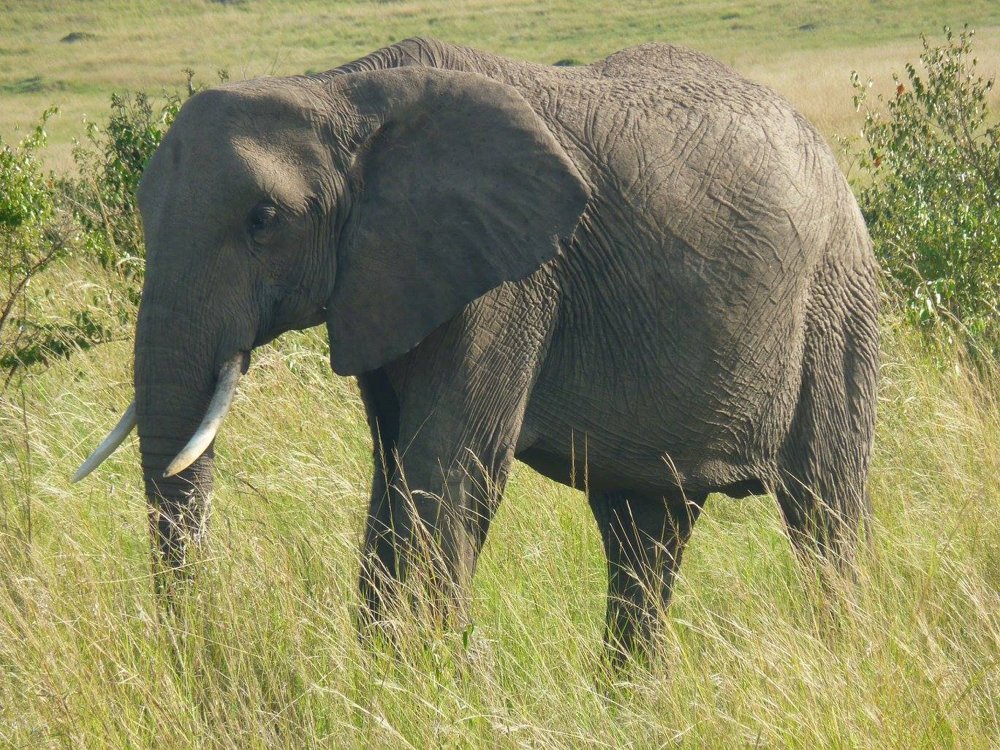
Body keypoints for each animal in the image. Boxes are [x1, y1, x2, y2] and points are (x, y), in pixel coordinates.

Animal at [74, 38, 880, 661]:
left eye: (263, 219)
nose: (195, 644)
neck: (338, 91)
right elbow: (394, 471)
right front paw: (386, 675)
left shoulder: (508, 283)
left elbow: (449, 471)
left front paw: (437, 677)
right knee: (646, 533)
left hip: (837, 300)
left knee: (825, 512)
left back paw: (845, 663)